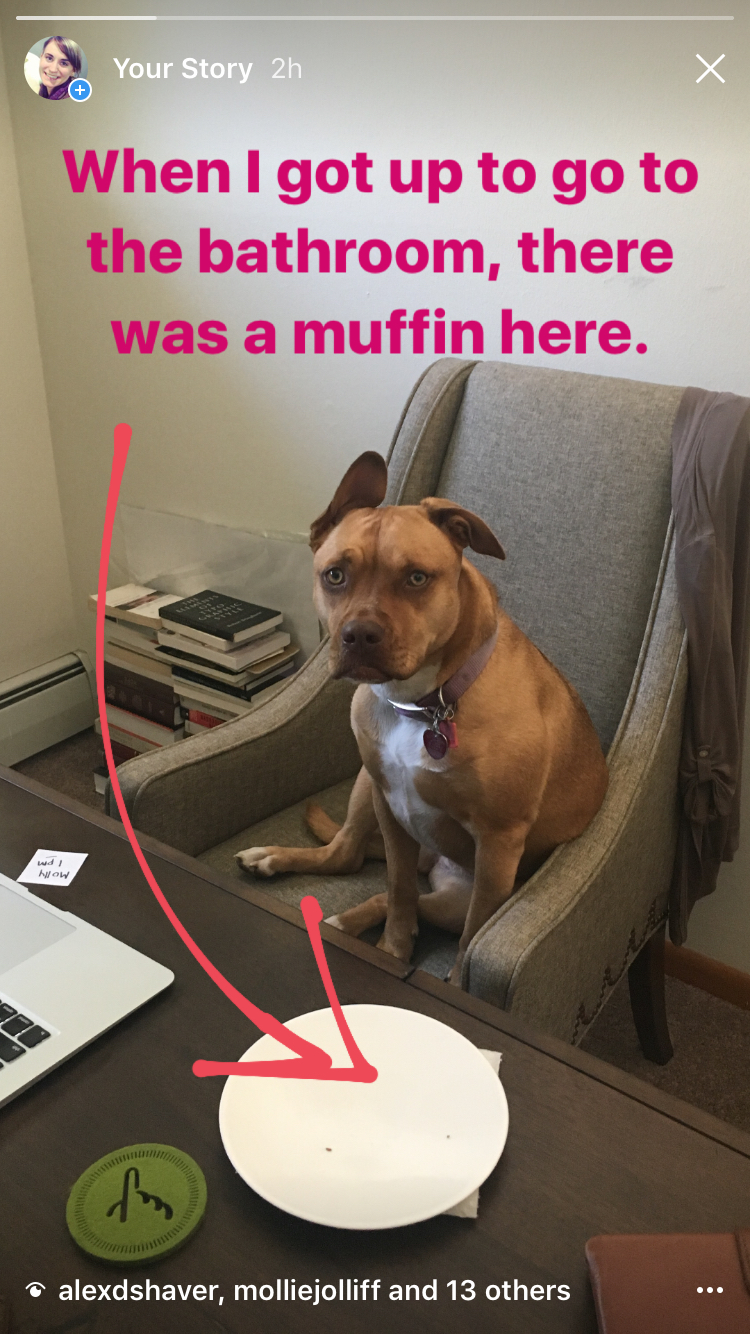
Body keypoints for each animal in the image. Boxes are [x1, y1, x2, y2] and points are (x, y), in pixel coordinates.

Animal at [234, 448, 608, 981]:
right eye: (335, 575)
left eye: (416, 578)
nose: (360, 635)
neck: (423, 702)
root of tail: (437, 863)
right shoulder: (391, 807)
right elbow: (397, 888)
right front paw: (392, 952)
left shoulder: (498, 845)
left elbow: (471, 938)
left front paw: (450, 981)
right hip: (365, 787)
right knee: (350, 858)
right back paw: (285, 869)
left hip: (455, 894)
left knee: (391, 889)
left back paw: (343, 920)